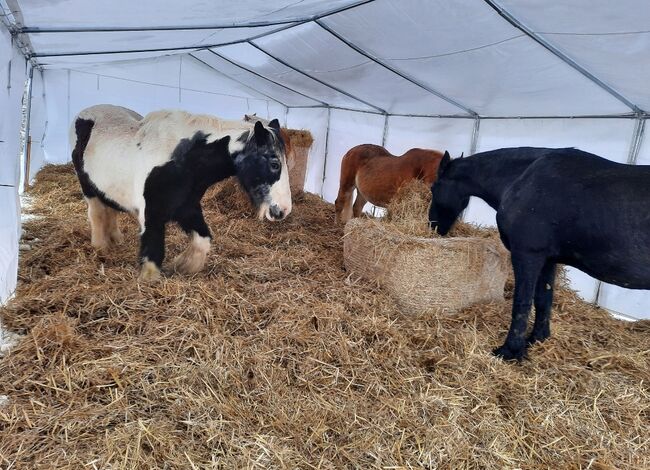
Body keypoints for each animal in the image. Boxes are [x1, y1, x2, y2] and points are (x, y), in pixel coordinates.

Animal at [69, 105, 290, 282]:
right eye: (274, 163)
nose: (283, 210)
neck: (182, 161)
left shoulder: (187, 208)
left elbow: (202, 241)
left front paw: (182, 266)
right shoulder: (151, 215)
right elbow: (152, 257)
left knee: (110, 210)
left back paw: (115, 238)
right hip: (88, 188)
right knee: (97, 213)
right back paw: (101, 247)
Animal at [426, 149, 648, 362]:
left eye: (433, 188)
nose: (433, 226)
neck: (523, 178)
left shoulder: (527, 256)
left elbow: (522, 303)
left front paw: (510, 351)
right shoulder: (548, 259)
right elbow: (543, 299)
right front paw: (537, 339)